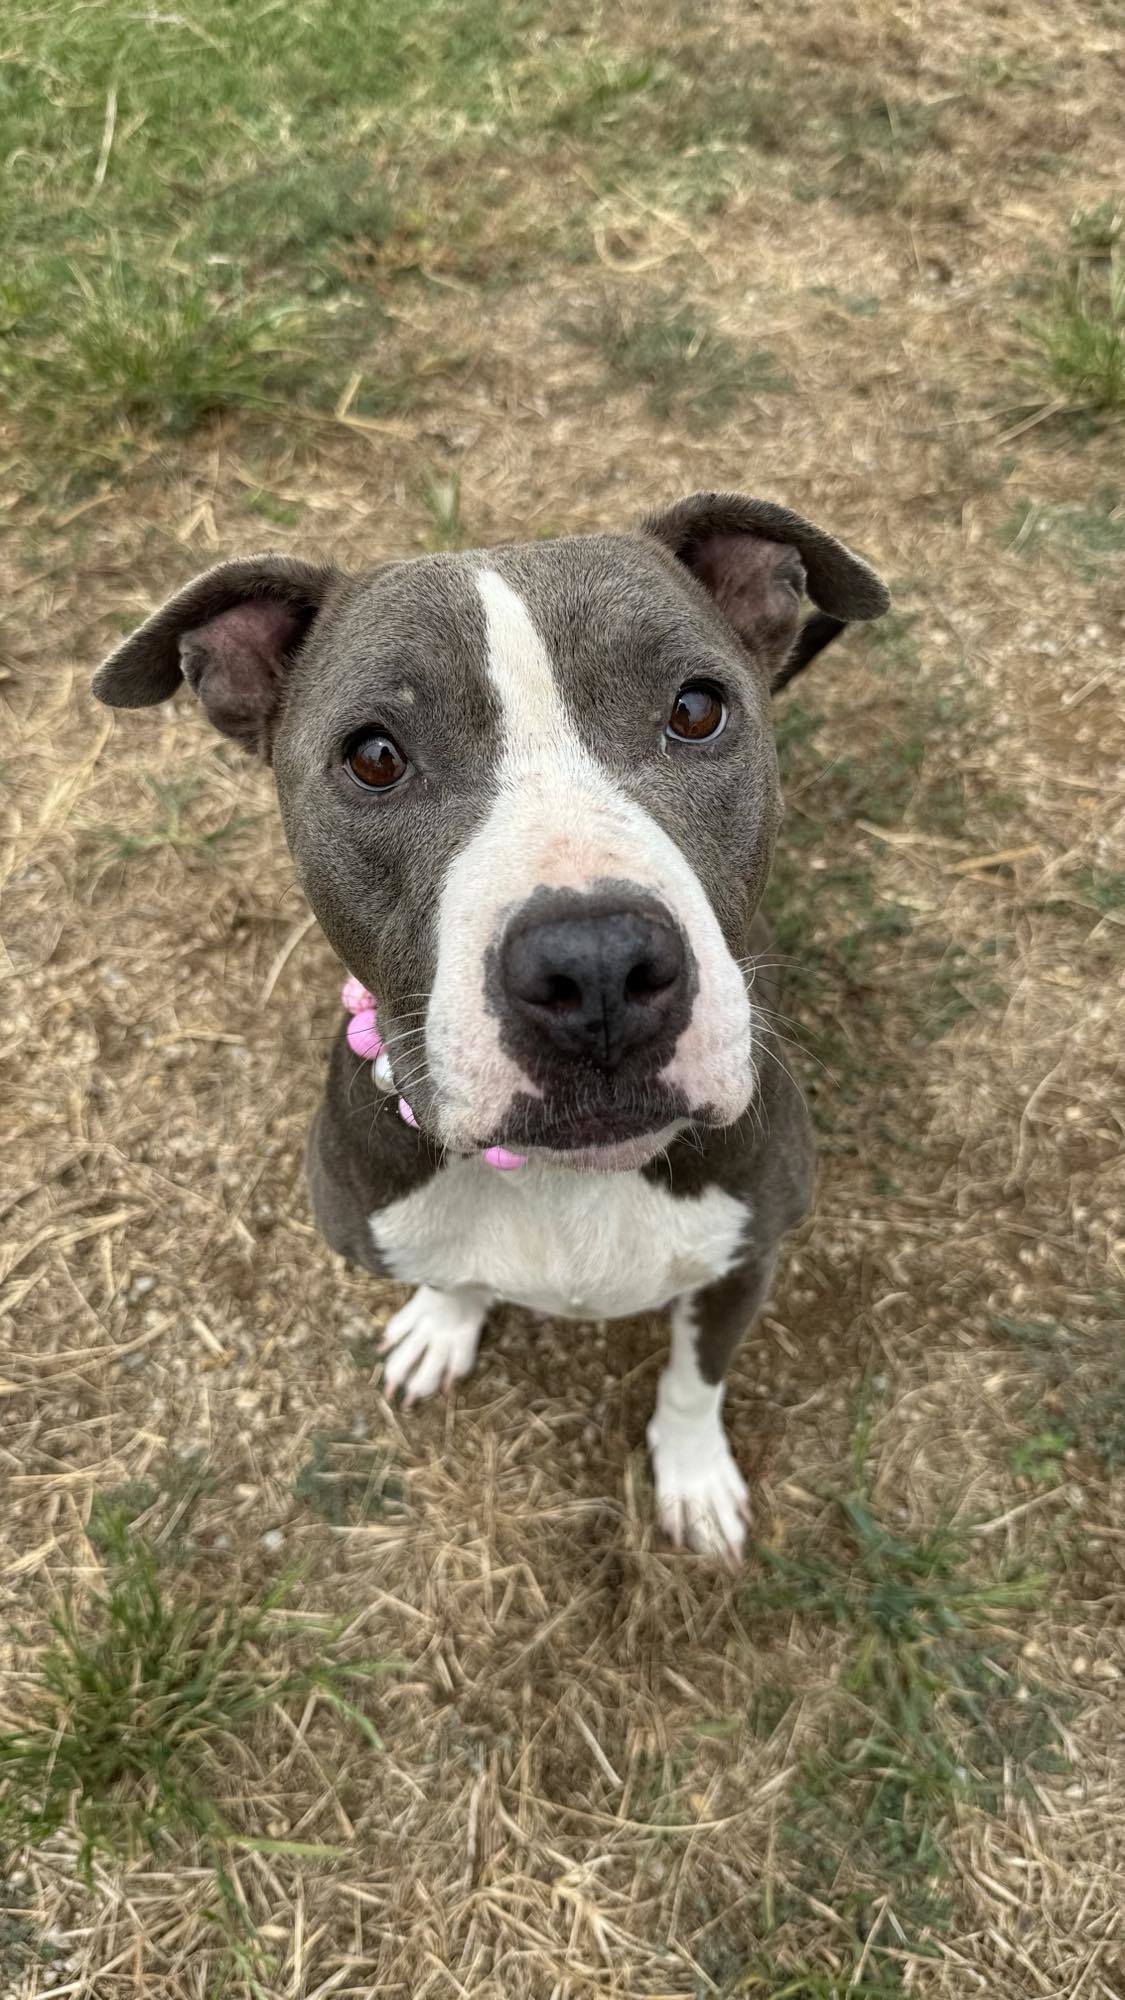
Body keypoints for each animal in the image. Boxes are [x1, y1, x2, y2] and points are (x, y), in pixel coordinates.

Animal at [94, 492, 884, 1552]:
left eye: (695, 709)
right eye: (373, 756)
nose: (596, 964)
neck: (559, 1180)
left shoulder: (744, 1257)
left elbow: (692, 1381)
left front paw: (692, 1477)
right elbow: (451, 1274)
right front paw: (442, 1321)